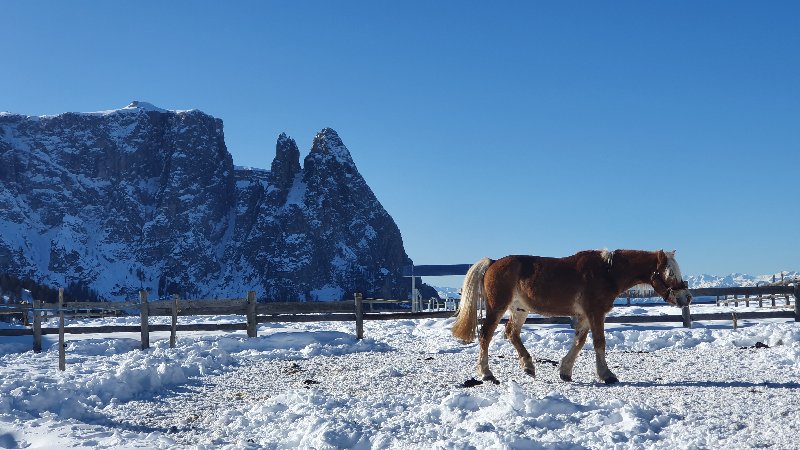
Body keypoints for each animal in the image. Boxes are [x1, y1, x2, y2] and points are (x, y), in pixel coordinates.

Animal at [454, 250, 692, 384]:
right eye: (670, 273)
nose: (686, 297)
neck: (607, 272)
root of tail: (493, 262)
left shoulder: (586, 315)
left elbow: (579, 342)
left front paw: (565, 371)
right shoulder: (595, 313)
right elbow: (599, 342)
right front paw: (607, 375)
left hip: (520, 309)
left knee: (511, 333)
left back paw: (528, 366)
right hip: (497, 307)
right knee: (486, 335)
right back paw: (487, 374)